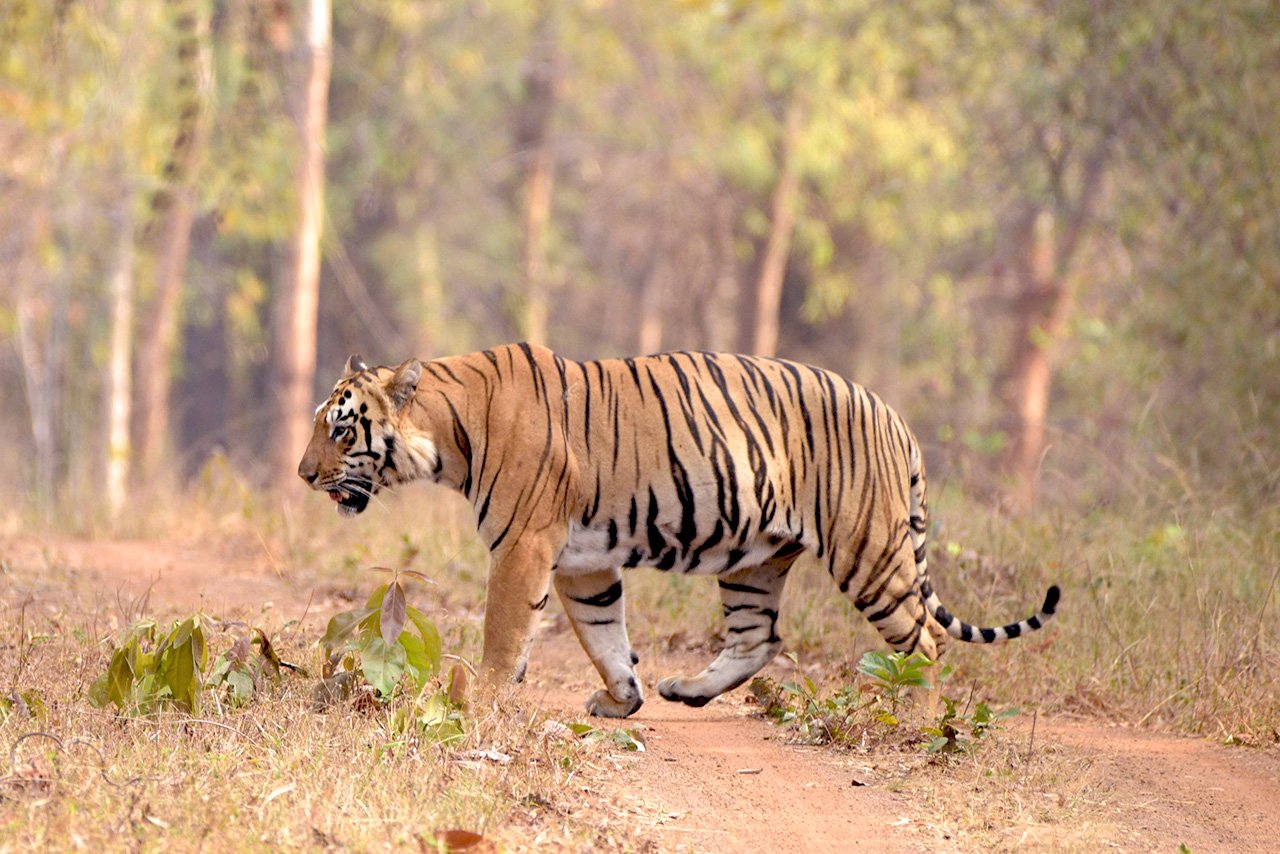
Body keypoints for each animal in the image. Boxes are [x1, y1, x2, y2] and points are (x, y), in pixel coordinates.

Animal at [298, 343, 1059, 718]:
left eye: (340, 429)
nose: (303, 475)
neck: (450, 434)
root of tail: (897, 417)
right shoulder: (583, 563)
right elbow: (604, 636)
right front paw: (621, 701)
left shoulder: (524, 546)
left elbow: (503, 632)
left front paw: (478, 699)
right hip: (756, 560)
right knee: (760, 638)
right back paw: (686, 690)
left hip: (867, 550)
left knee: (925, 638)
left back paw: (917, 721)